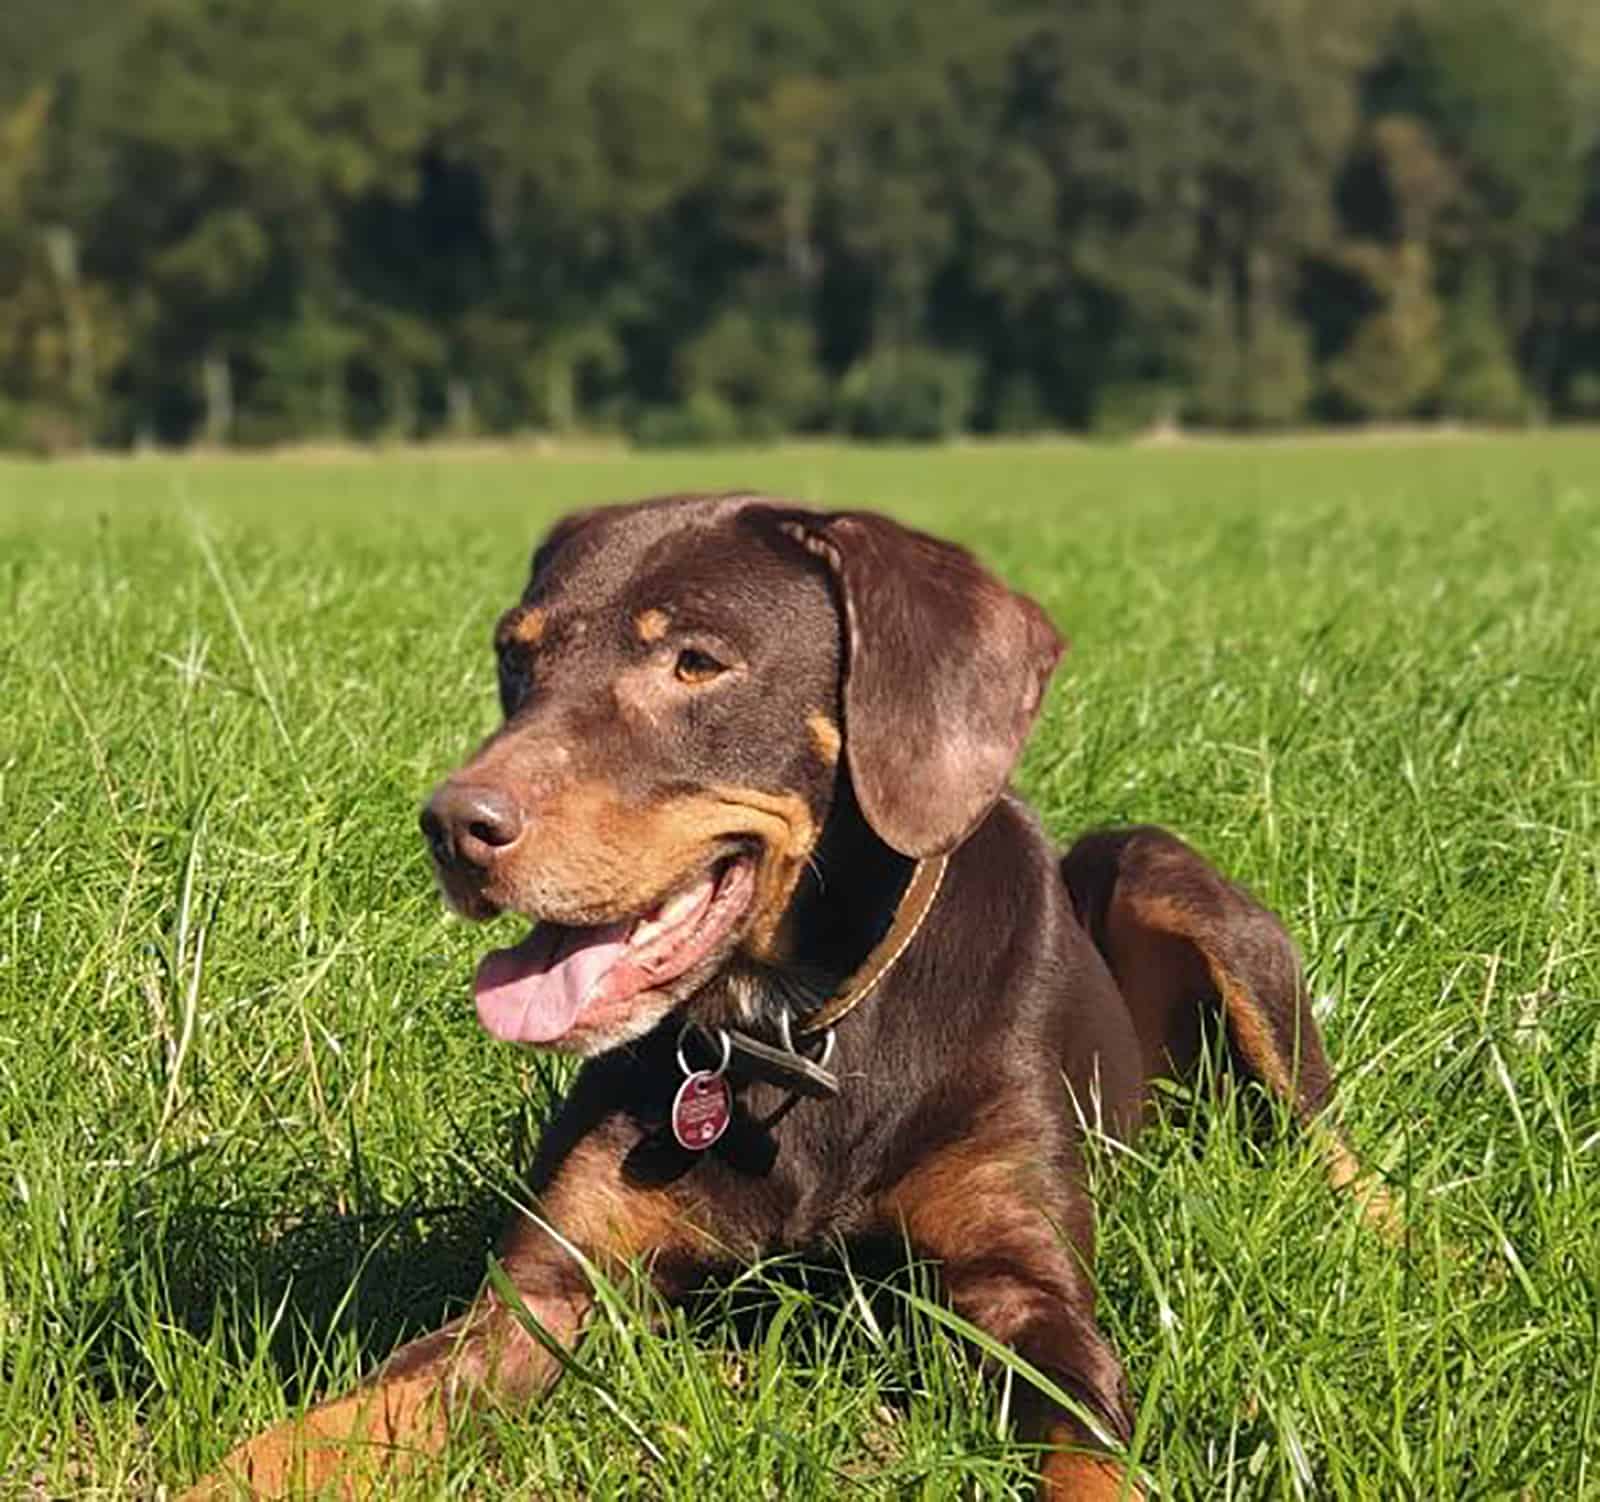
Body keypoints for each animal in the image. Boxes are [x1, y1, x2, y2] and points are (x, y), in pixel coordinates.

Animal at [181, 495, 1382, 1502]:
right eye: (515, 659)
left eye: (696, 662)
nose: (452, 826)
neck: (799, 1031)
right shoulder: (546, 1289)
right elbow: (308, 1435)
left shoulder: (1023, 1287)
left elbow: (1088, 1458)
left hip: (1161, 875)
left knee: (1326, 1135)